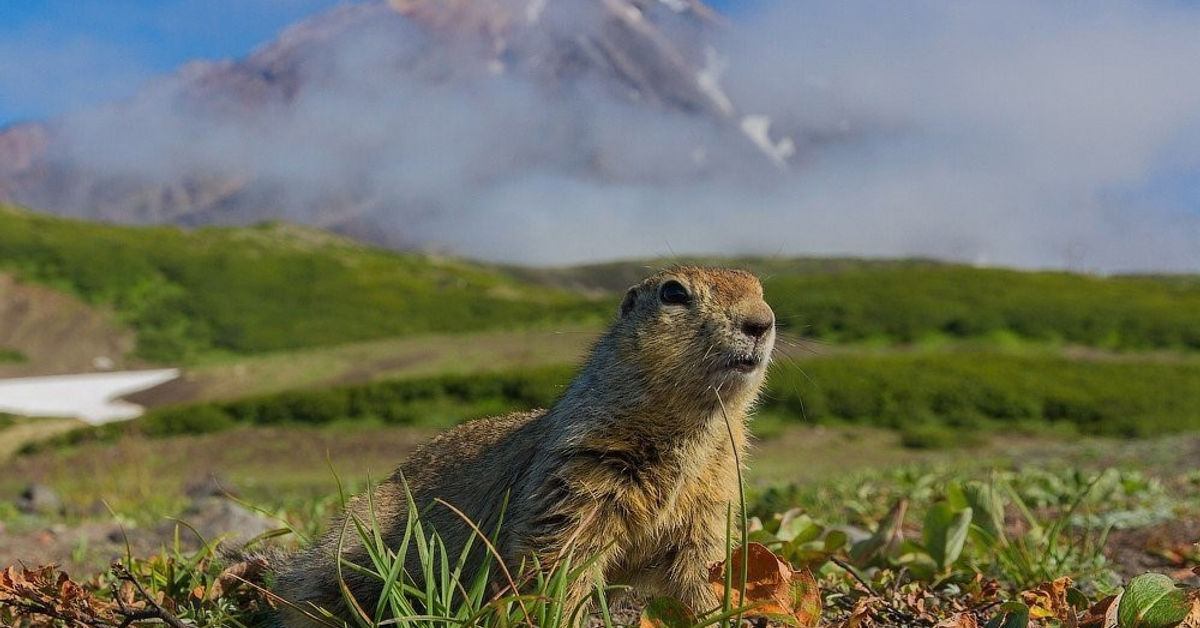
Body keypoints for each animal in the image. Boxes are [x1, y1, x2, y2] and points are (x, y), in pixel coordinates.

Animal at [273, 266, 777, 628]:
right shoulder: (580, 472)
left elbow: (700, 567)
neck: (690, 430)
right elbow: (560, 558)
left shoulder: (711, 499)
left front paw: (720, 611)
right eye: (674, 293)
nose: (762, 321)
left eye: (759, 286)